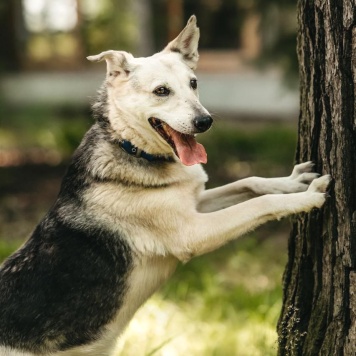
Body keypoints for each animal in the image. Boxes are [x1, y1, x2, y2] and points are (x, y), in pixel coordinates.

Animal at [0, 15, 330, 354]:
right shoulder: (192, 233)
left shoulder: (195, 202)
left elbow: (250, 183)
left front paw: (292, 182)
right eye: (161, 91)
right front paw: (306, 198)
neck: (130, 147)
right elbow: (259, 203)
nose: (205, 122)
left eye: (194, 84)